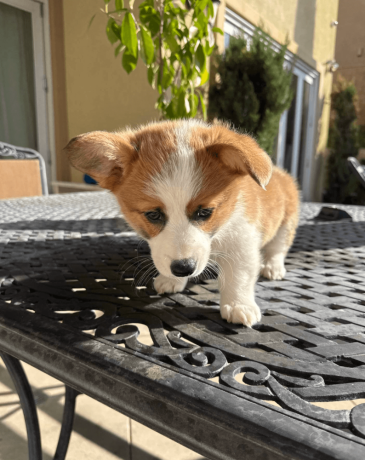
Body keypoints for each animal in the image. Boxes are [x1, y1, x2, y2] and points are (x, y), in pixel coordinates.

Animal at [66, 118, 298, 328]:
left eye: (205, 212)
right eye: (153, 215)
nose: (184, 268)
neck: (217, 235)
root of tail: (280, 173)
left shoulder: (242, 242)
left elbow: (239, 276)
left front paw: (238, 305)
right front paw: (171, 280)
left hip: (287, 222)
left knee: (278, 248)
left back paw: (273, 267)